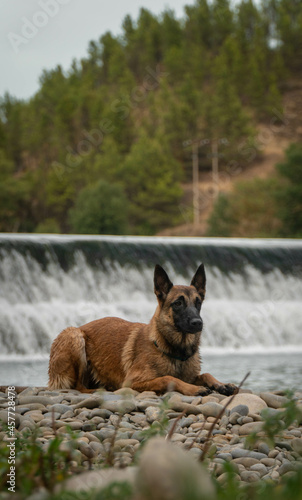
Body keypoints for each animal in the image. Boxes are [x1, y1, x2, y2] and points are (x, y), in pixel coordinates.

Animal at [48, 264, 238, 396]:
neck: (175, 351)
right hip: (74, 335)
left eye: (198, 303)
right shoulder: (133, 382)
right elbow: (168, 378)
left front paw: (221, 384)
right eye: (178, 303)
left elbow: (206, 374)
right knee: (79, 386)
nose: (198, 323)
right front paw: (194, 389)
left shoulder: (191, 375)